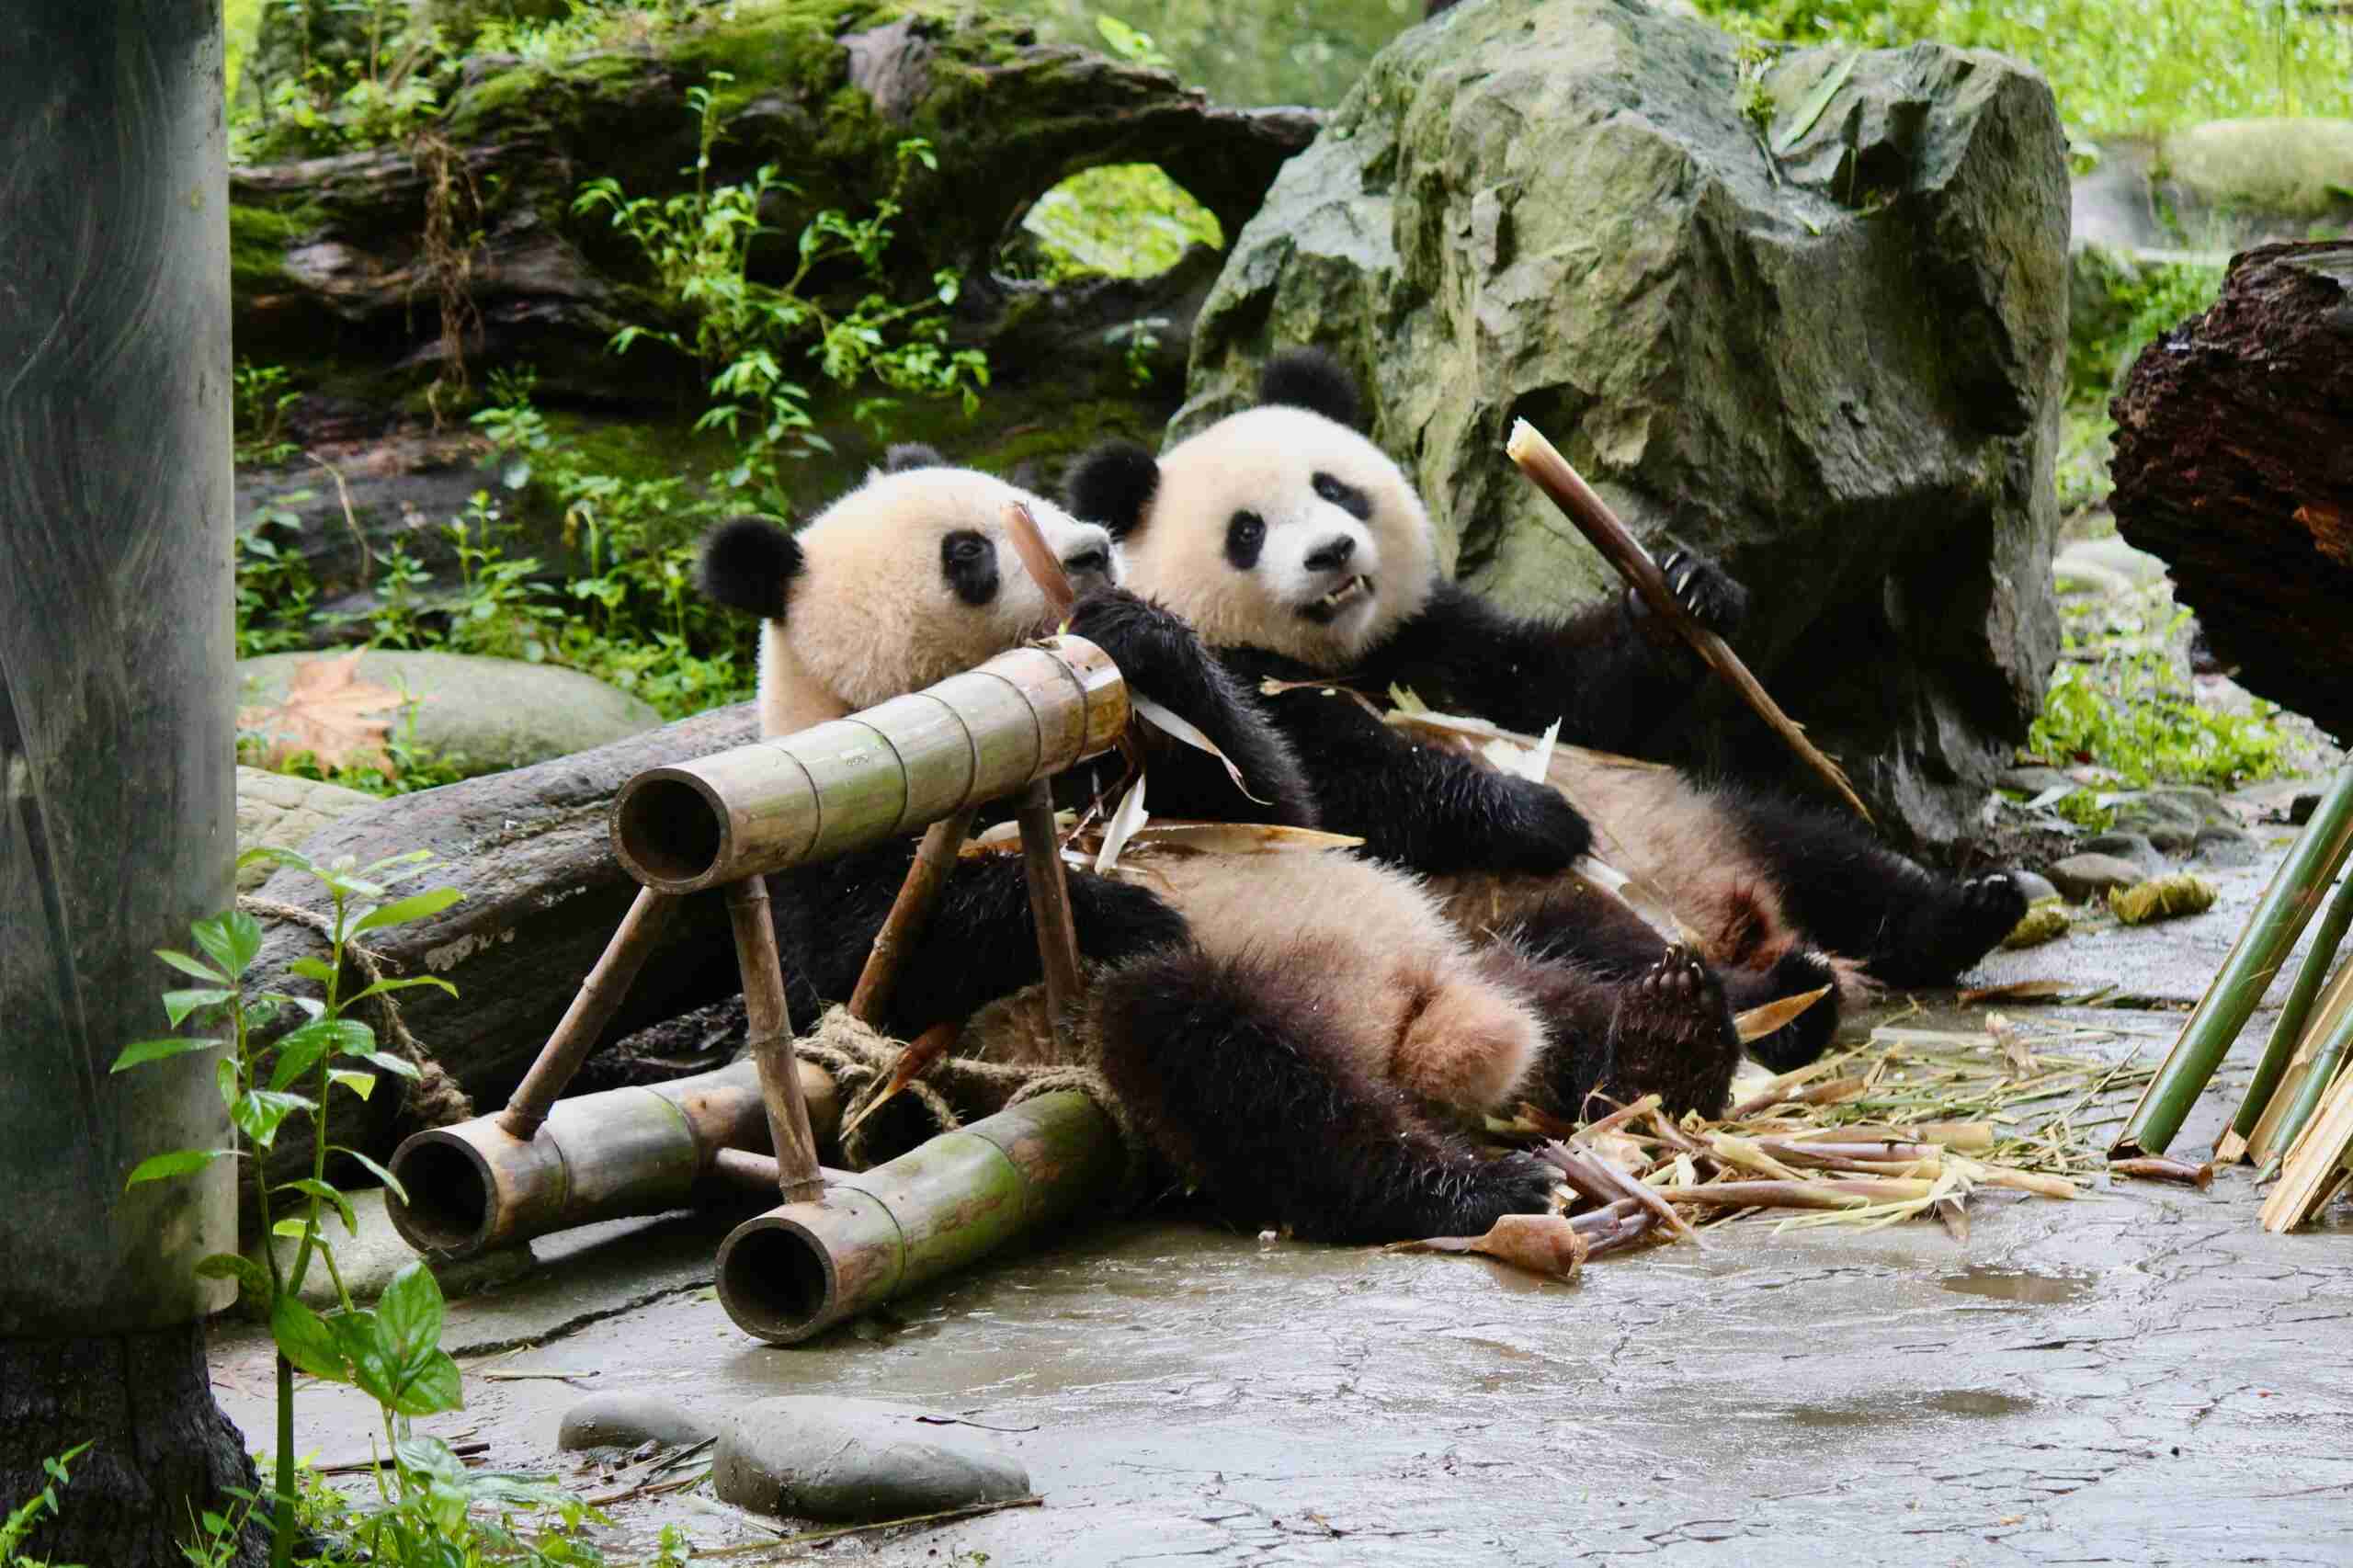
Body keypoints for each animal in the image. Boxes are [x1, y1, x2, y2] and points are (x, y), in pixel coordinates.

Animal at [696, 445, 1751, 1243]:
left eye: (1032, 499)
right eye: (968, 552)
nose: (1090, 553)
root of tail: (1410, 1036)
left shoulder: (1132, 741)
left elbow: (1274, 793)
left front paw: (1141, 633)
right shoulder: (836, 815)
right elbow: (887, 953)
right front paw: (1114, 904)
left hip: (1469, 943)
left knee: (1568, 998)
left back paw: (1668, 1036)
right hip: (1174, 1023)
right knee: (1246, 1079)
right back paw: (1473, 1187)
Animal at [1063, 348, 2030, 1047]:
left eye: (1333, 488)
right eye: (1247, 532)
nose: (1332, 554)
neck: (1349, 651)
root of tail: (1731, 914)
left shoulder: (1438, 636)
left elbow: (1560, 692)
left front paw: (1687, 594)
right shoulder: (1258, 674)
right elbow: (1315, 791)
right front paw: (1534, 812)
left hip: (1708, 816)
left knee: (1824, 851)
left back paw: (1967, 912)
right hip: (1503, 906)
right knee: (1593, 947)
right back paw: (1779, 998)